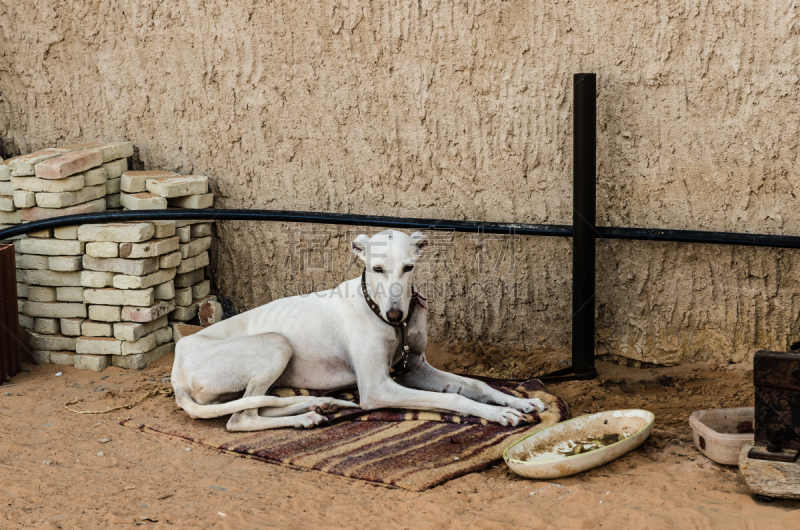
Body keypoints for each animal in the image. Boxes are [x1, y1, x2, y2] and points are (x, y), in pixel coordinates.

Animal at [171, 230, 548, 428]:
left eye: (408, 267)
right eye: (377, 268)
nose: (396, 315)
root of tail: (177, 370)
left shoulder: (415, 367)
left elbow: (475, 384)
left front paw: (517, 401)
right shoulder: (378, 388)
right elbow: (455, 398)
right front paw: (498, 413)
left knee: (259, 404)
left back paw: (316, 407)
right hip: (276, 343)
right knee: (241, 419)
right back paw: (305, 416)